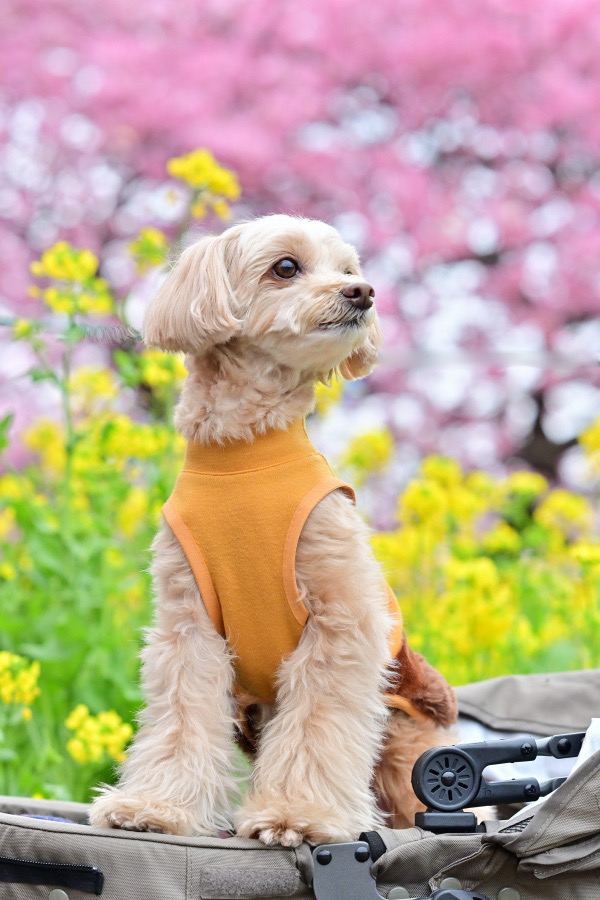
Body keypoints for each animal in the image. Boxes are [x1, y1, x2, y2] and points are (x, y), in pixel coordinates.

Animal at [89, 214, 454, 848]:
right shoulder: (188, 626)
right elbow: (180, 717)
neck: (244, 453)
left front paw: (296, 817)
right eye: (286, 267)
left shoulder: (339, 619)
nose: (363, 292)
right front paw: (154, 808)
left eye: (348, 269)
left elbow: (317, 721)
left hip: (408, 745)